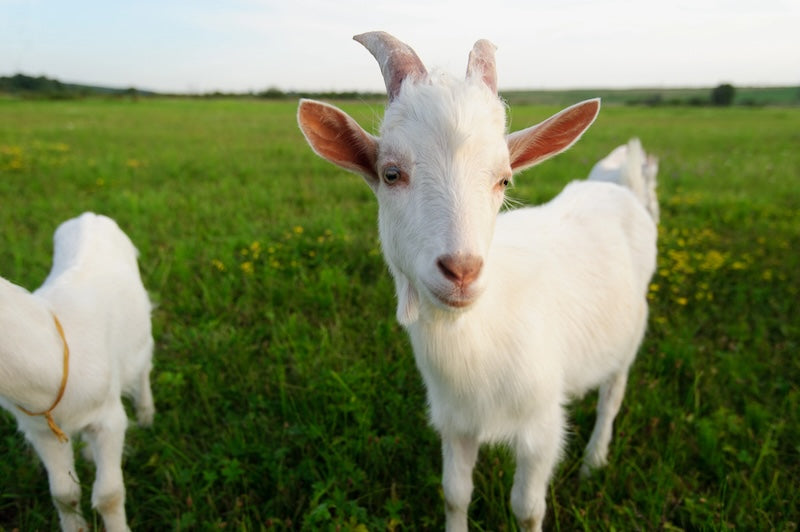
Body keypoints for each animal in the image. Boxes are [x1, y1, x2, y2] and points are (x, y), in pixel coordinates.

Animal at [0, 212, 154, 532]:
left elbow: (109, 494)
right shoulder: (41, 430)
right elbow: (63, 494)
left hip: (140, 332)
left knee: (144, 366)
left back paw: (146, 415)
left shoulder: (109, 419)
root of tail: (90, 216)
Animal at [297, 32, 657, 531]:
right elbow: (455, 494)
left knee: (612, 396)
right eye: (391, 173)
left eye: (504, 180)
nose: (462, 270)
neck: (475, 332)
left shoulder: (541, 426)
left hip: (630, 332)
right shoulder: (454, 421)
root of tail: (621, 188)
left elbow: (527, 509)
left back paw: (594, 461)